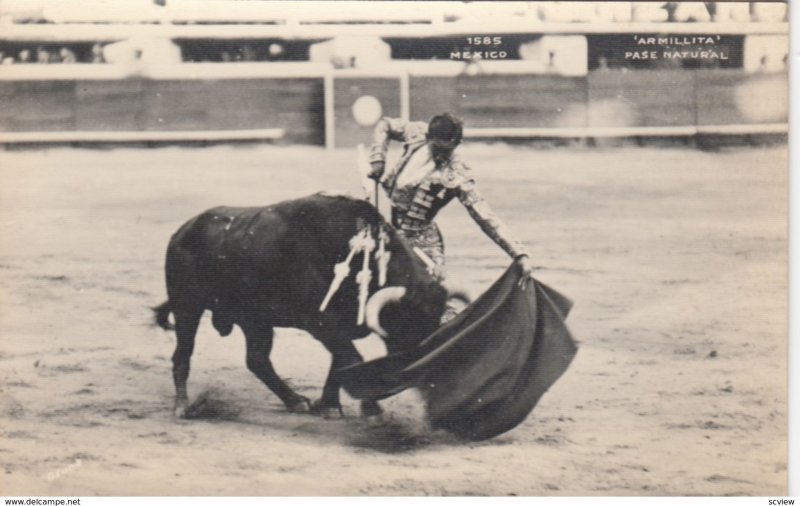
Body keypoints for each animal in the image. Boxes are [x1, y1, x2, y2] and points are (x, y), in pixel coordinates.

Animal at [152, 194, 450, 420]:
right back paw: (183, 407)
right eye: (405, 322)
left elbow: (341, 364)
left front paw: (328, 406)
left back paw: (295, 401)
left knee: (257, 360)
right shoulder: (322, 322)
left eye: (434, 324)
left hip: (255, 320)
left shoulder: (340, 327)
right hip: (187, 306)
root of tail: (182, 231)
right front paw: (371, 407)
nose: (412, 375)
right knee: (183, 355)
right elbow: (352, 359)